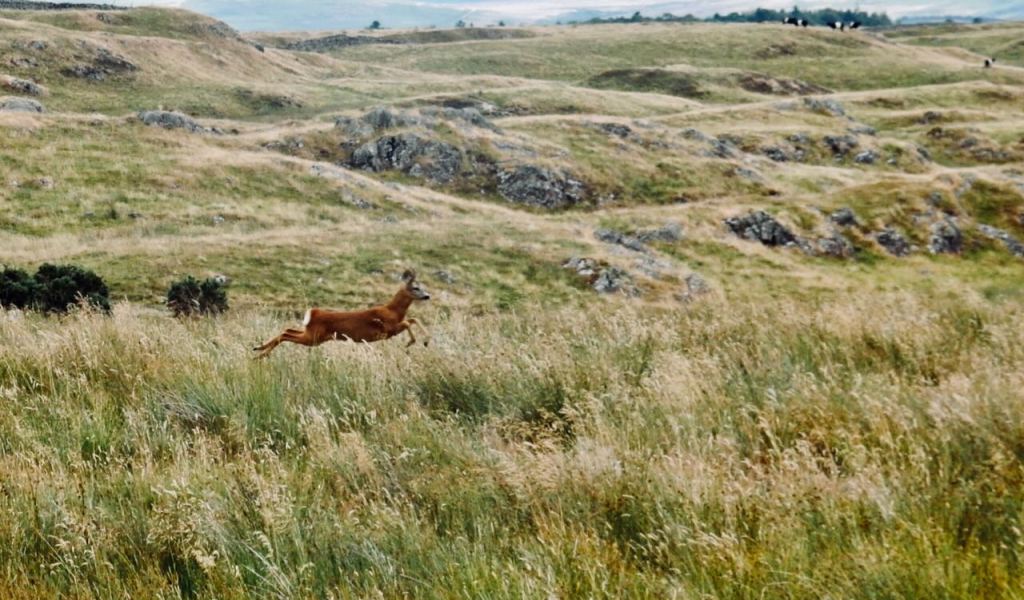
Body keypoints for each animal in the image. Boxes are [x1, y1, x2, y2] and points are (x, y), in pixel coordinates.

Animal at [253, 269, 431, 359]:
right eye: (415, 287)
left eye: (422, 286)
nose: (427, 296)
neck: (393, 310)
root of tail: (314, 312)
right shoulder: (387, 329)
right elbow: (409, 322)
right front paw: (413, 342)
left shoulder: (391, 329)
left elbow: (413, 319)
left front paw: (425, 341)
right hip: (313, 337)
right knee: (286, 335)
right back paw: (261, 354)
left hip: (313, 335)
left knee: (287, 330)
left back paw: (259, 350)